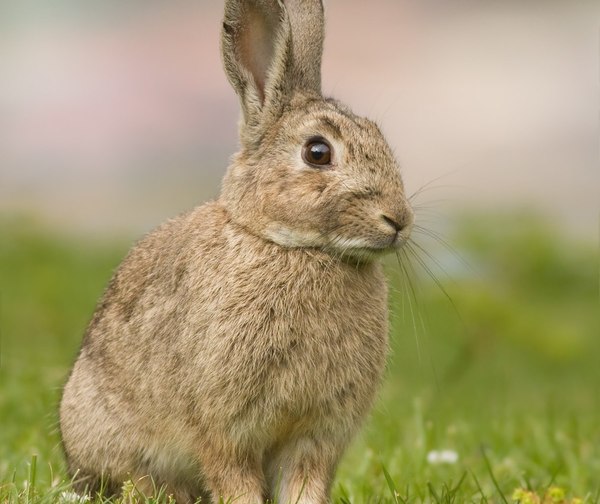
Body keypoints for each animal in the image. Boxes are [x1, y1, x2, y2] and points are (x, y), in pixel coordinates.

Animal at [61, 0, 414, 504]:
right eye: (318, 152)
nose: (398, 219)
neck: (292, 247)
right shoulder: (225, 428)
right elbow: (234, 478)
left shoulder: (316, 436)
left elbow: (305, 484)